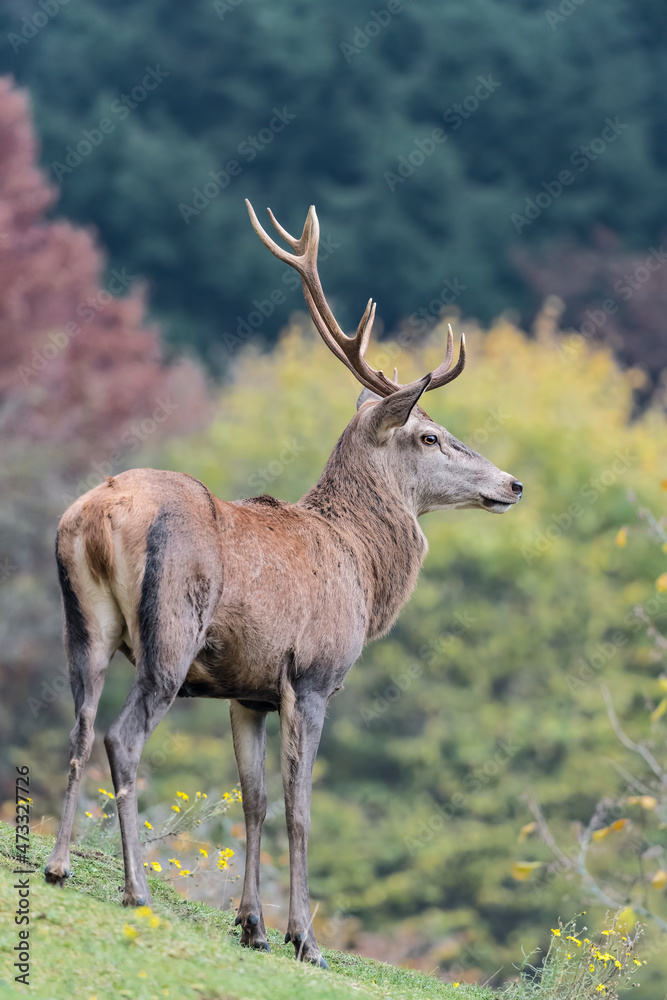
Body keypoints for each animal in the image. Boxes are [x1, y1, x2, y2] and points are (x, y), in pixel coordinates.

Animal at [44, 200, 523, 967]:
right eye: (429, 435)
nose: (512, 484)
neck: (361, 566)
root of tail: (96, 514)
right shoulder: (313, 675)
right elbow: (300, 807)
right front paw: (305, 938)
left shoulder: (250, 690)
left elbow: (254, 800)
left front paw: (253, 926)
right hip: (169, 630)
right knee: (123, 735)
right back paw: (134, 889)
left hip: (83, 620)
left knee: (81, 725)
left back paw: (58, 865)